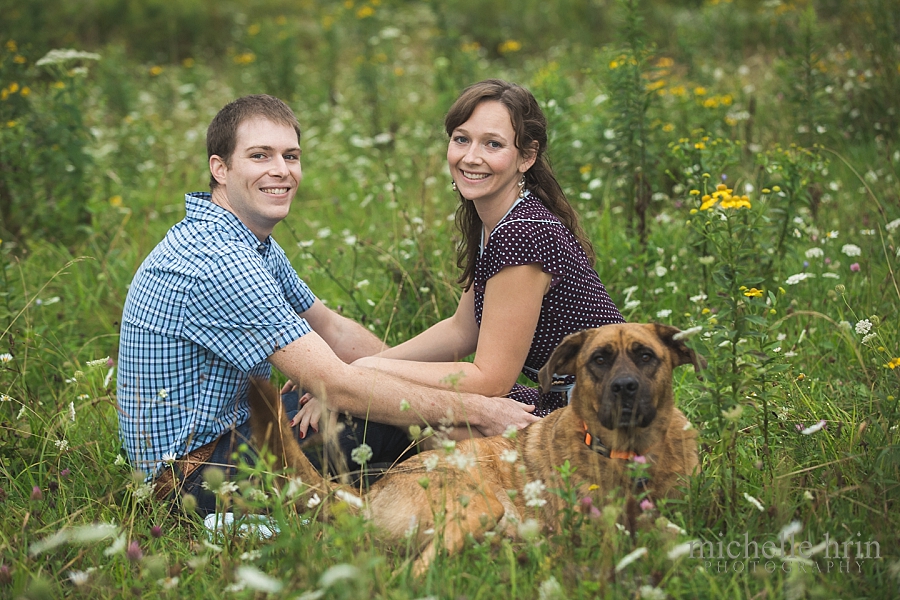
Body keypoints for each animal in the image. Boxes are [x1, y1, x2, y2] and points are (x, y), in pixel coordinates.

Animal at [248, 322, 704, 576]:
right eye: (599, 359)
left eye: (646, 356)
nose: (625, 388)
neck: (634, 452)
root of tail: (370, 493)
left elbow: (679, 533)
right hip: (479, 506)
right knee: (414, 573)